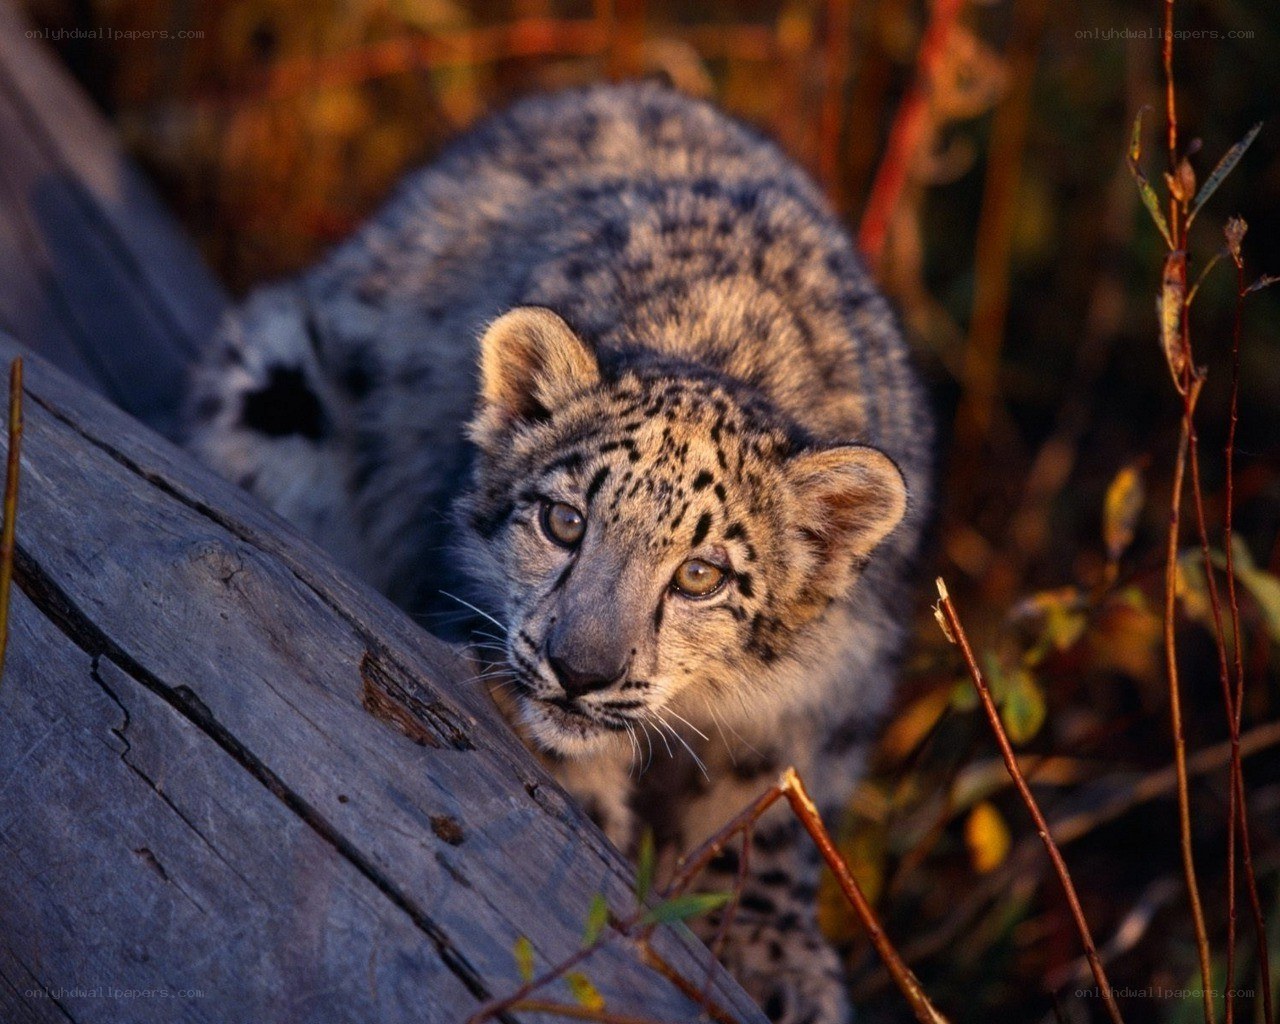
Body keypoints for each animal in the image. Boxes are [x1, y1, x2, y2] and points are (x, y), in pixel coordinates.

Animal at [185, 80, 933, 1024]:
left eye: (701, 576)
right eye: (565, 522)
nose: (581, 670)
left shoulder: (833, 690)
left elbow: (765, 805)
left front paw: (781, 960)